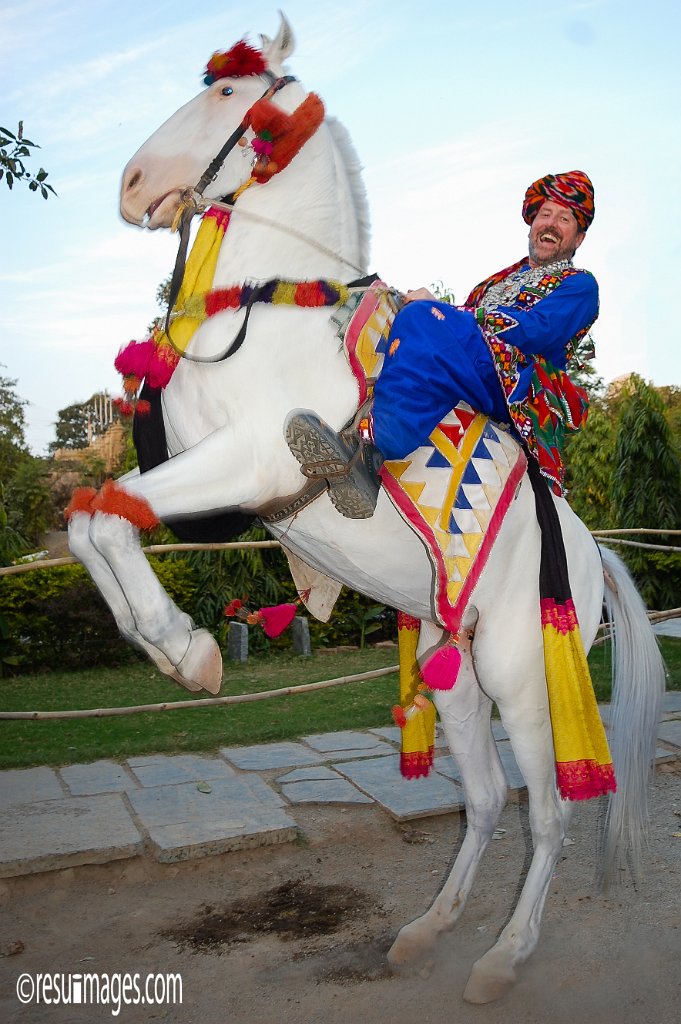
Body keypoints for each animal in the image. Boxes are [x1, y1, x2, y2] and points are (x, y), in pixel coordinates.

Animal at [69, 16, 663, 1003]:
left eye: (224, 93)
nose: (133, 185)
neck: (266, 315)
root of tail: (590, 553)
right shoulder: (203, 480)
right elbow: (93, 516)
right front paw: (174, 649)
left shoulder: (248, 461)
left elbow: (108, 519)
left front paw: (187, 649)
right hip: (454, 671)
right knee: (486, 800)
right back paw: (429, 929)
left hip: (520, 672)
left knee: (547, 812)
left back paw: (503, 956)